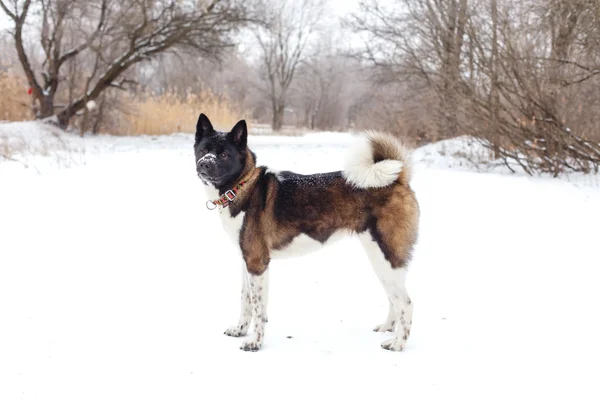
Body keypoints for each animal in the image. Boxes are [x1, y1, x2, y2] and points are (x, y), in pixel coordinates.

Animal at [195, 114, 420, 352]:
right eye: (203, 150)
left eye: (224, 154)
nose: (204, 163)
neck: (242, 185)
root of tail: (398, 178)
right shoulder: (246, 261)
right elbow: (245, 300)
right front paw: (239, 330)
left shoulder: (257, 264)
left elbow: (258, 308)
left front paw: (255, 342)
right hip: (382, 260)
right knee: (394, 298)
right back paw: (387, 328)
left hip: (385, 257)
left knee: (406, 303)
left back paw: (398, 343)